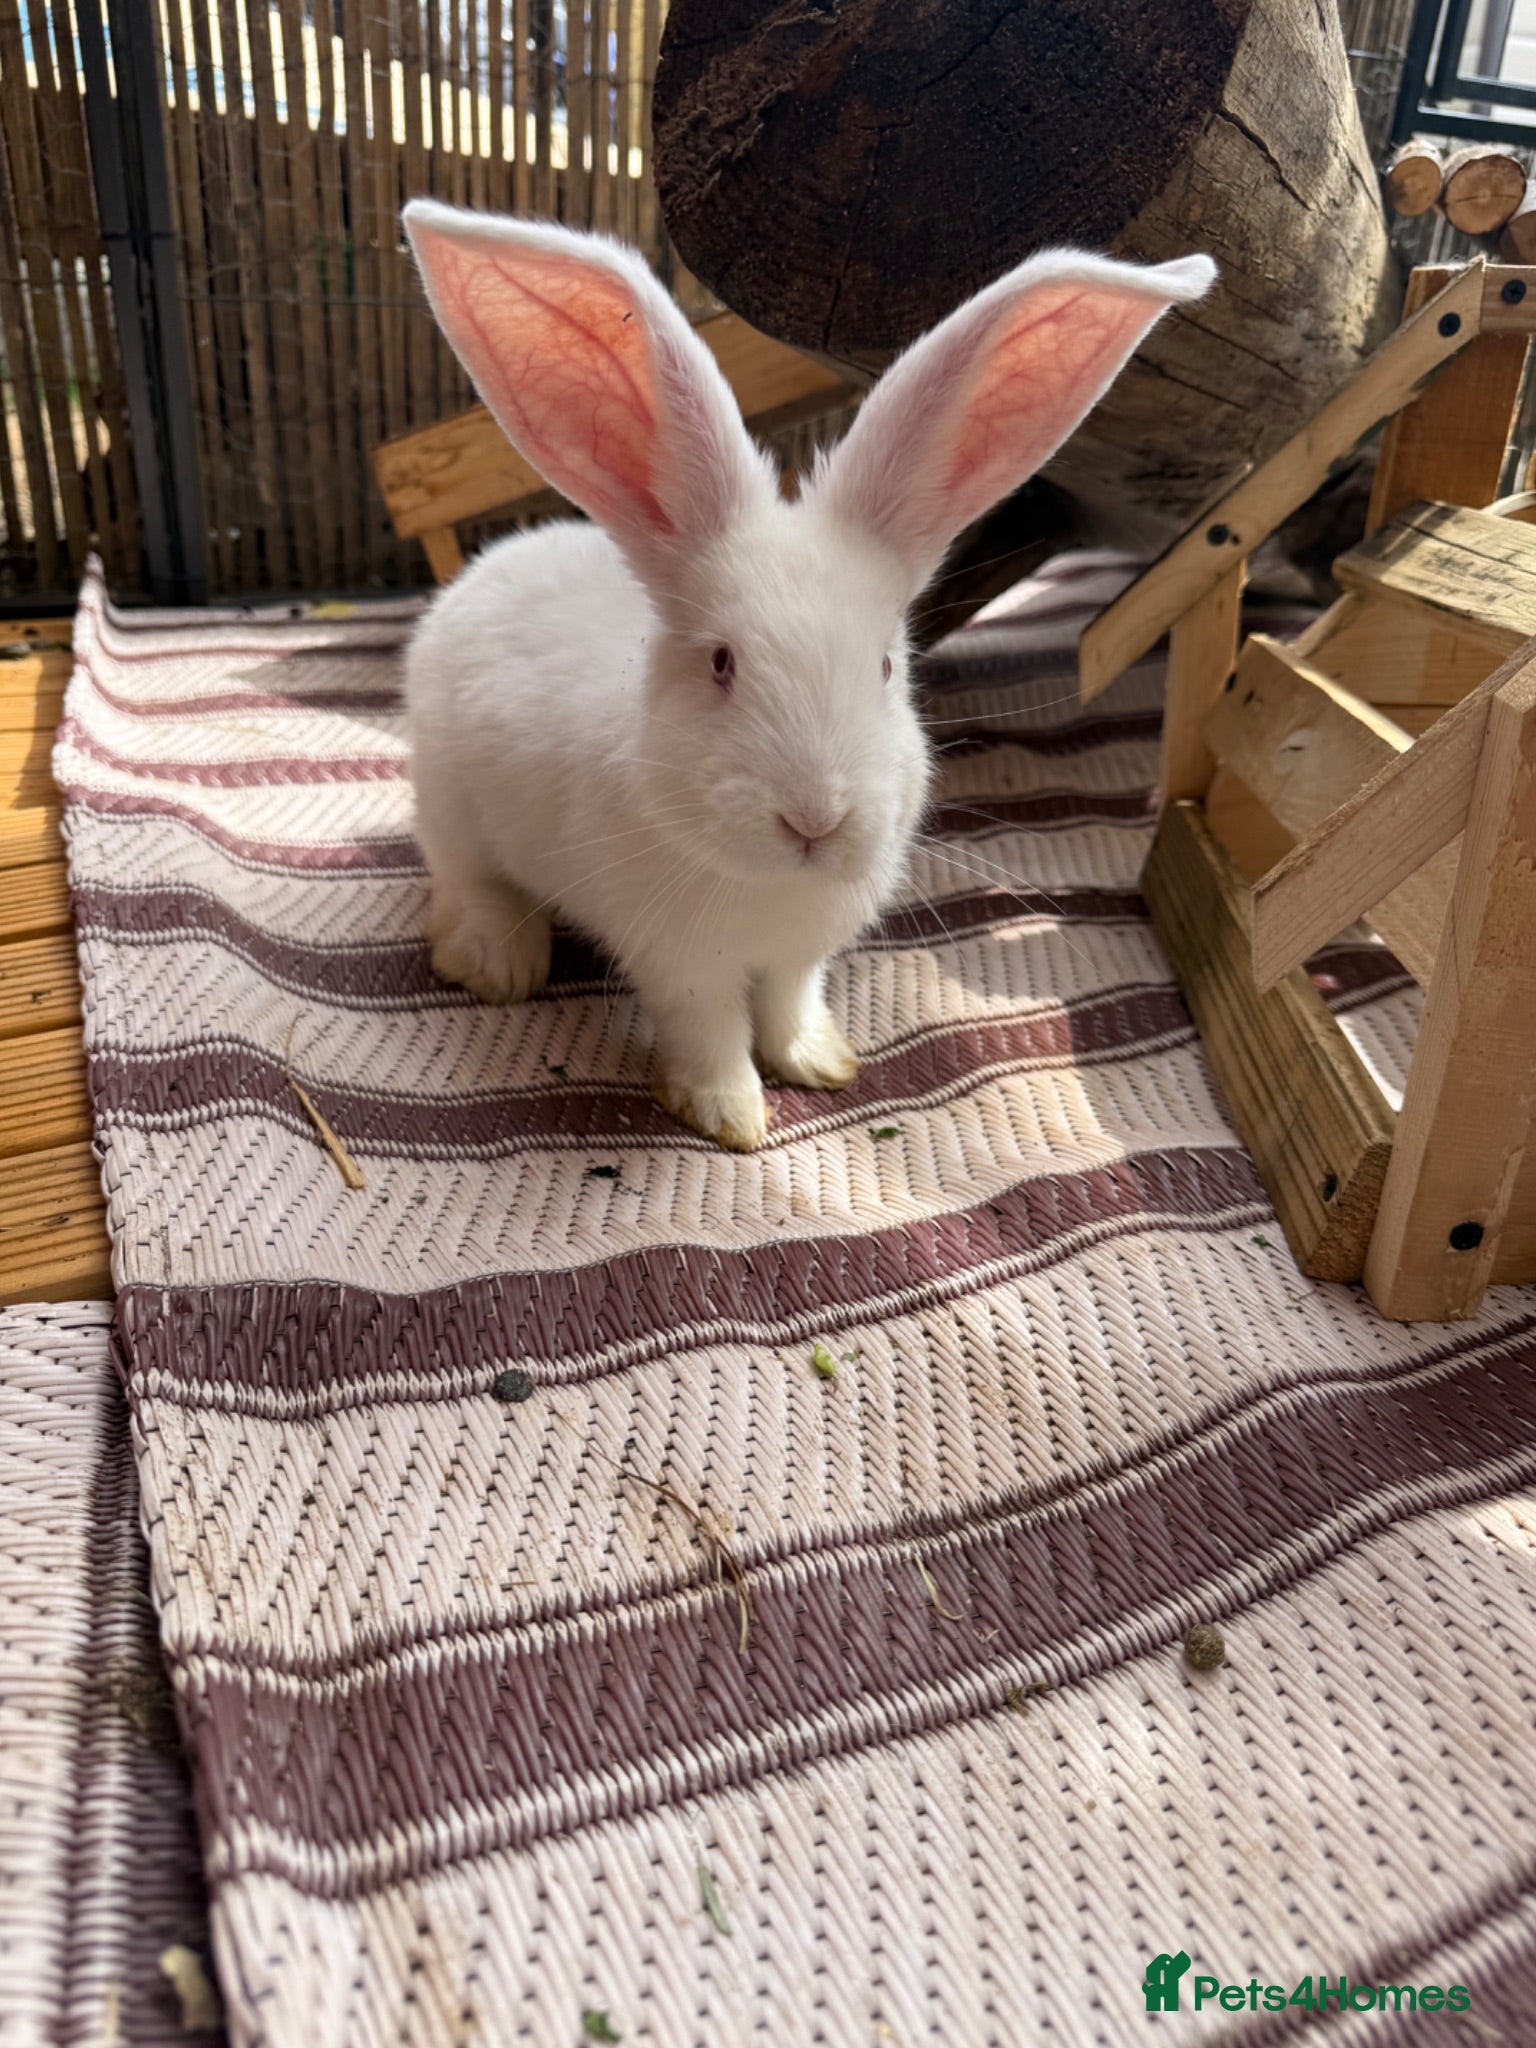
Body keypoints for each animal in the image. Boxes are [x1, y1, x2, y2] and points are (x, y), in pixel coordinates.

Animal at [402, 198, 1213, 1150]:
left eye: (888, 665)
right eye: (721, 663)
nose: (815, 821)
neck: (771, 885)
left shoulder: (800, 956)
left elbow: (789, 1003)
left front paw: (820, 1063)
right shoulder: (682, 964)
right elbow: (711, 1032)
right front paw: (731, 1116)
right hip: (448, 802)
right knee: (465, 882)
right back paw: (499, 962)